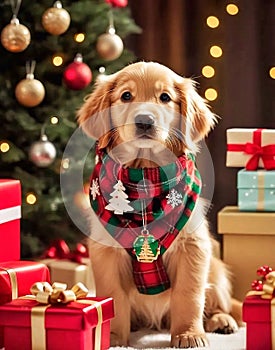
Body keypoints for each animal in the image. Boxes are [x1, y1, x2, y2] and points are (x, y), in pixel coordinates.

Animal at [77, 62, 242, 348]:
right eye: (126, 96)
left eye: (165, 97)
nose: (145, 120)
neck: (145, 180)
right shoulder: (105, 251)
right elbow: (113, 296)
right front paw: (113, 338)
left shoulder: (193, 246)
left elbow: (189, 295)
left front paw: (188, 334)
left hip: (217, 269)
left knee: (219, 303)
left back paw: (221, 320)